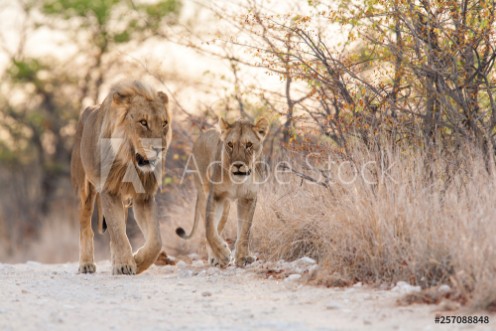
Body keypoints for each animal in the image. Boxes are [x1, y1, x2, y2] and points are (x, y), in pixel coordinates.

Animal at [69, 80, 171, 274]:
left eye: (164, 123)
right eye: (143, 122)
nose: (160, 149)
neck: (130, 160)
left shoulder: (144, 197)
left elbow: (156, 241)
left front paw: (137, 261)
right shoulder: (109, 190)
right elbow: (118, 231)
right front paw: (125, 264)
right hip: (84, 191)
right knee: (86, 228)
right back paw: (86, 264)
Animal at [174, 118, 268, 268]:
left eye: (249, 144)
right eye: (230, 144)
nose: (238, 165)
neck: (237, 181)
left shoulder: (248, 198)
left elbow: (245, 231)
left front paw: (242, 257)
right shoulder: (215, 196)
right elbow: (209, 230)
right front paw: (223, 254)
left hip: (226, 207)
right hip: (207, 196)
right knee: (211, 229)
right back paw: (215, 258)